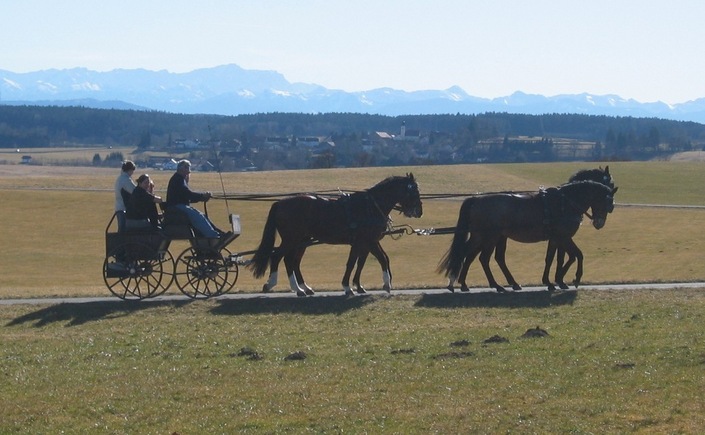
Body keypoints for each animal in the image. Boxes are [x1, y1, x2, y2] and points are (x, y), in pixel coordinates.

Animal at [250, 174, 420, 296]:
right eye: (413, 191)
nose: (419, 211)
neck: (370, 206)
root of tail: (280, 203)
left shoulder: (365, 242)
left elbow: (366, 261)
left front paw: (361, 286)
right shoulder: (365, 242)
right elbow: (364, 261)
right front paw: (351, 287)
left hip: (302, 240)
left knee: (293, 261)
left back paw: (303, 288)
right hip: (291, 239)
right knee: (279, 257)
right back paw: (278, 285)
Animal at [440, 181, 616, 292]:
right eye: (608, 203)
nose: (599, 223)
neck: (565, 202)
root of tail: (476, 199)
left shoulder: (556, 239)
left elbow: (552, 258)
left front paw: (551, 281)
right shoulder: (564, 237)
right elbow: (577, 255)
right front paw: (574, 278)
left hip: (484, 237)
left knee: (472, 255)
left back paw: (465, 283)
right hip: (489, 237)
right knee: (480, 257)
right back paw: (491, 284)